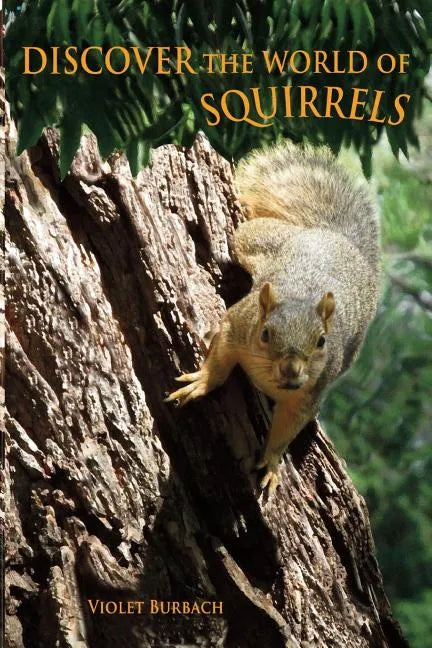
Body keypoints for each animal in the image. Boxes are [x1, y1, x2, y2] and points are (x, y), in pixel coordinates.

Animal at [166, 142, 380, 492]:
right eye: (265, 334)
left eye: (322, 341)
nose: (291, 370)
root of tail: (336, 238)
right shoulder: (238, 324)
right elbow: (220, 357)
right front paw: (203, 381)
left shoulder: (310, 394)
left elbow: (287, 430)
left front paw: (273, 462)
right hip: (255, 238)